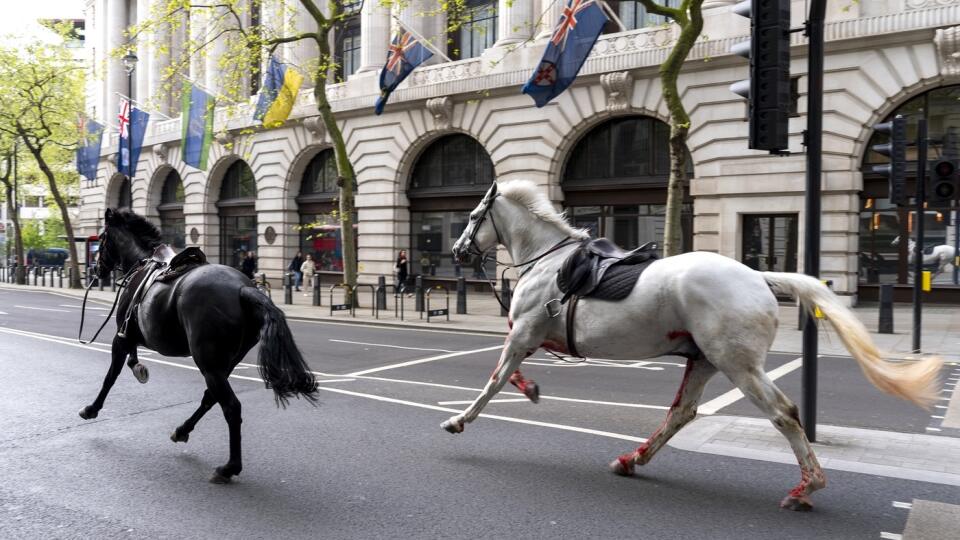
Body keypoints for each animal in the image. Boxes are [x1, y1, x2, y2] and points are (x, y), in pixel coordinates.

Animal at [79, 209, 318, 484]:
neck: (143, 262)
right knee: (210, 398)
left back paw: (229, 467)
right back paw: (182, 431)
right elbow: (131, 360)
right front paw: (139, 369)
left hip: (208, 362)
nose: (95, 269)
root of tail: (243, 288)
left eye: (102, 239)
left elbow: (110, 377)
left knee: (231, 407)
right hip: (224, 363)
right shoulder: (132, 335)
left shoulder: (122, 336)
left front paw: (92, 409)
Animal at [446, 180, 940, 510]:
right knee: (682, 412)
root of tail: (760, 277)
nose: (457, 251)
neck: (548, 261)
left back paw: (807, 487)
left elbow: (494, 379)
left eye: (471, 217)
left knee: (783, 413)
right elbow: (510, 375)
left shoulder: (523, 333)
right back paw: (632, 459)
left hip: (737, 364)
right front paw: (529, 389)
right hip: (704, 360)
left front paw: (459, 420)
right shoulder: (529, 336)